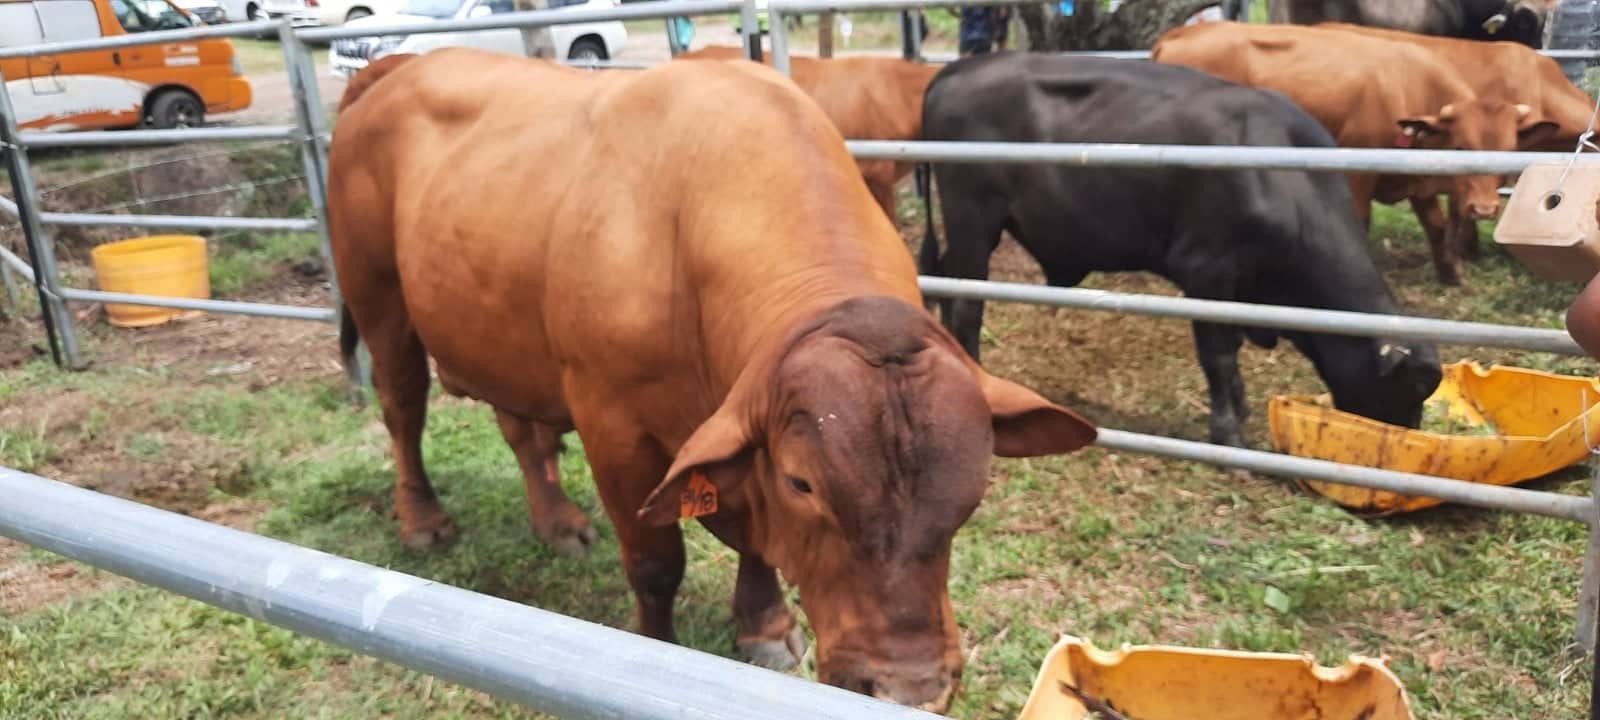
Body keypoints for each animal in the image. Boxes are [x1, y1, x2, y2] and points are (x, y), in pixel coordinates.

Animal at [917, 52, 1443, 450]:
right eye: (1412, 387)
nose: (1407, 438)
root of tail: (958, 68)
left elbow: (1231, 348)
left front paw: (1241, 407)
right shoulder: (1206, 272)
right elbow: (1217, 354)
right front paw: (1227, 432)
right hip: (973, 221)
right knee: (965, 305)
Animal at [1154, 21, 1560, 286]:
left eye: (1508, 151)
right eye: (1462, 148)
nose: (1485, 209)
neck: (1410, 85)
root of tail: (1180, 35)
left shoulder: (1420, 182)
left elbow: (1436, 224)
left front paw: (1452, 273)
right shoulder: (1358, 172)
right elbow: (1361, 221)